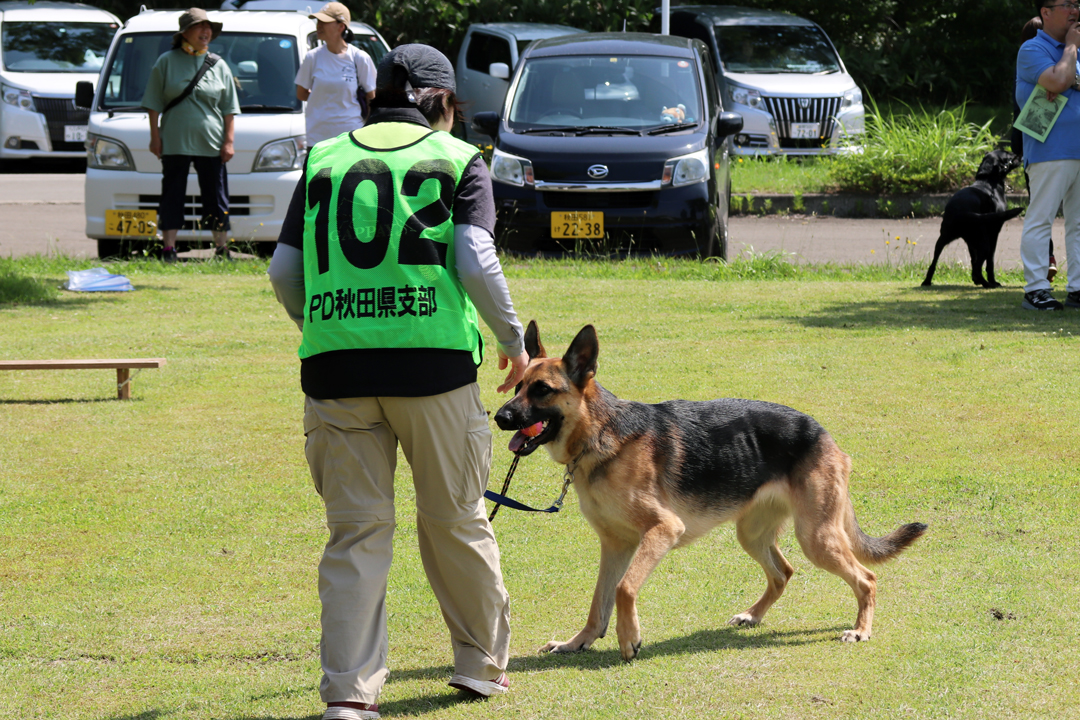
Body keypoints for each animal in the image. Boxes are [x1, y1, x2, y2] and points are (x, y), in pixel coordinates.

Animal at [494, 323, 924, 660]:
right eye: (518, 387)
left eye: (542, 390)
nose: (499, 417)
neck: (599, 432)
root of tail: (824, 434)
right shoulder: (616, 544)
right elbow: (598, 601)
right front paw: (578, 642)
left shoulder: (663, 530)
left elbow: (624, 588)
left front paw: (629, 640)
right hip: (752, 534)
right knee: (783, 572)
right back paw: (753, 615)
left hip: (816, 537)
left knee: (866, 578)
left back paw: (861, 629)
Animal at [920, 147, 1019, 289]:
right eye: (1007, 153)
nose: (1017, 154)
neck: (988, 180)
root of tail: (961, 212)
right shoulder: (993, 233)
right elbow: (989, 261)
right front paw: (992, 281)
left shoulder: (970, 242)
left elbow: (973, 258)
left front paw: (975, 280)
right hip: (984, 243)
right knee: (979, 266)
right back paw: (987, 284)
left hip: (942, 239)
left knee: (934, 262)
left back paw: (927, 281)